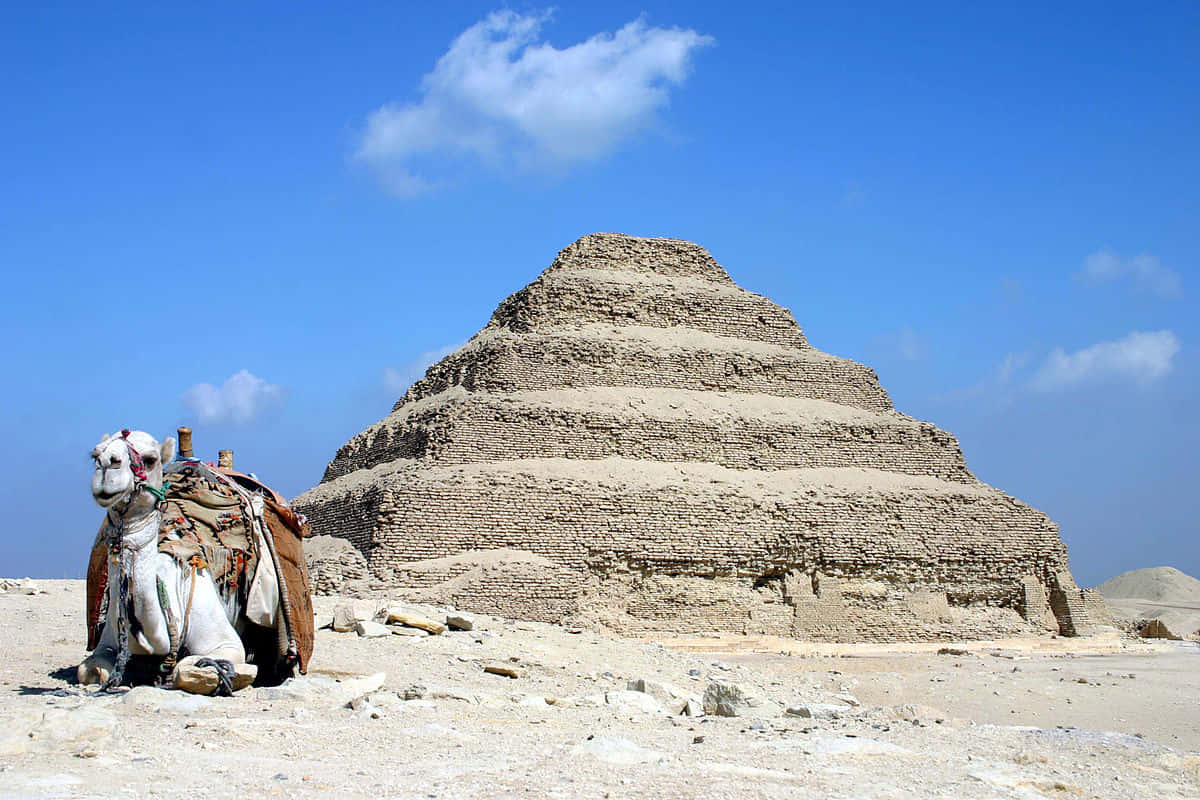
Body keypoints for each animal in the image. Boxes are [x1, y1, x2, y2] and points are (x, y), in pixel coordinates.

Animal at [79, 430, 250, 693]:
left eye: (150, 459)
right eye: (95, 455)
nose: (107, 466)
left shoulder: (225, 643)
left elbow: (188, 668)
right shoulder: (107, 642)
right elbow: (89, 671)